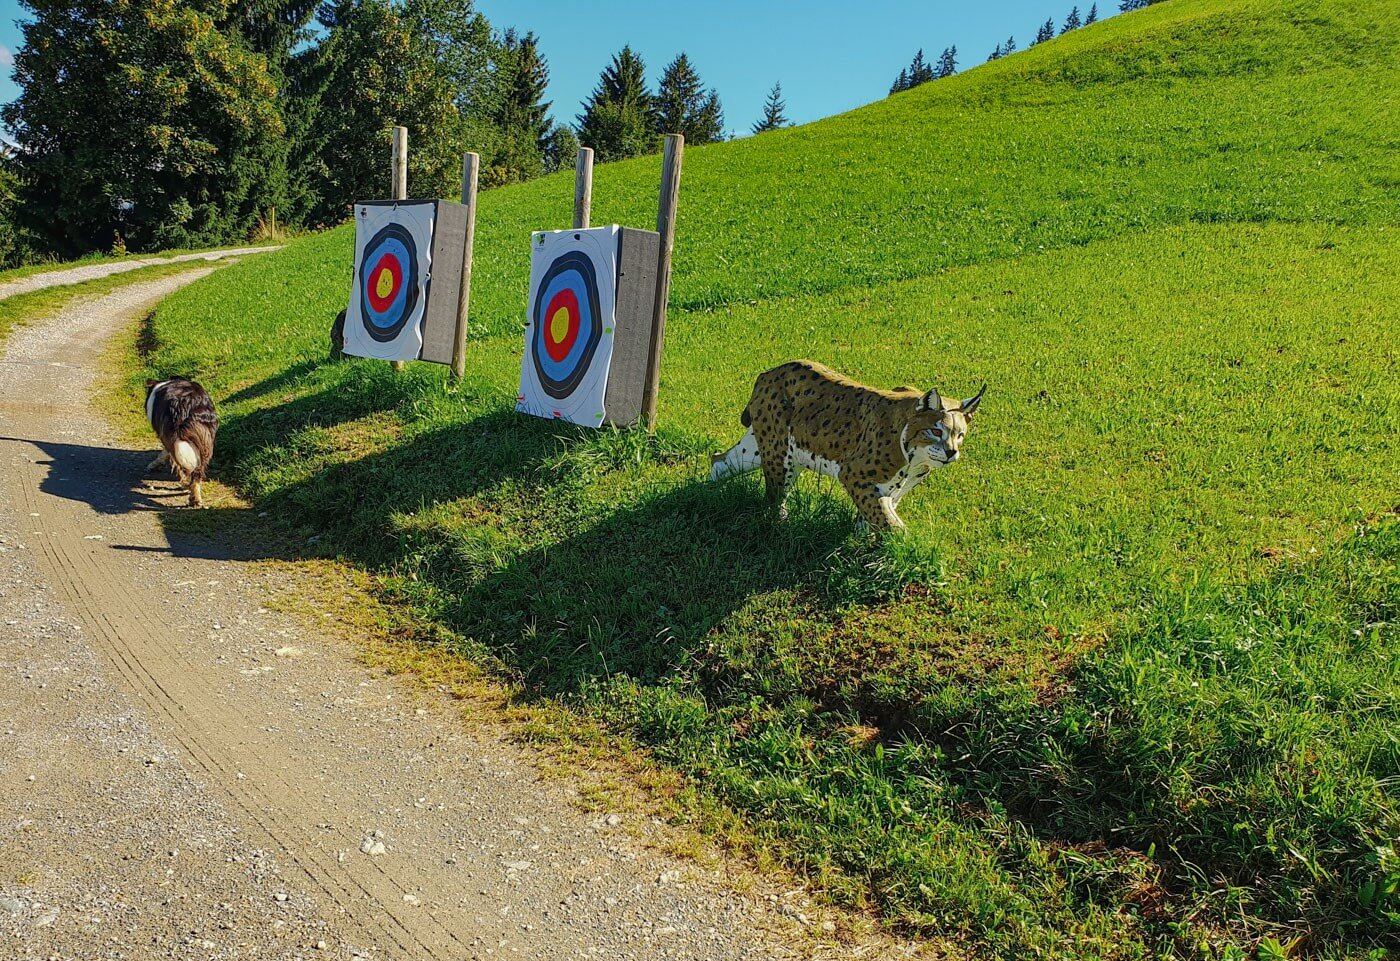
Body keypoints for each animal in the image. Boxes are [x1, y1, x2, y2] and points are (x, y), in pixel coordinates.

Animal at [145, 378, 218, 512]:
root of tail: (184, 404)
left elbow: (164, 453)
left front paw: (154, 464)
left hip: (174, 438)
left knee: (183, 468)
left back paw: (186, 486)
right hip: (205, 441)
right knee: (197, 473)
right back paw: (196, 499)